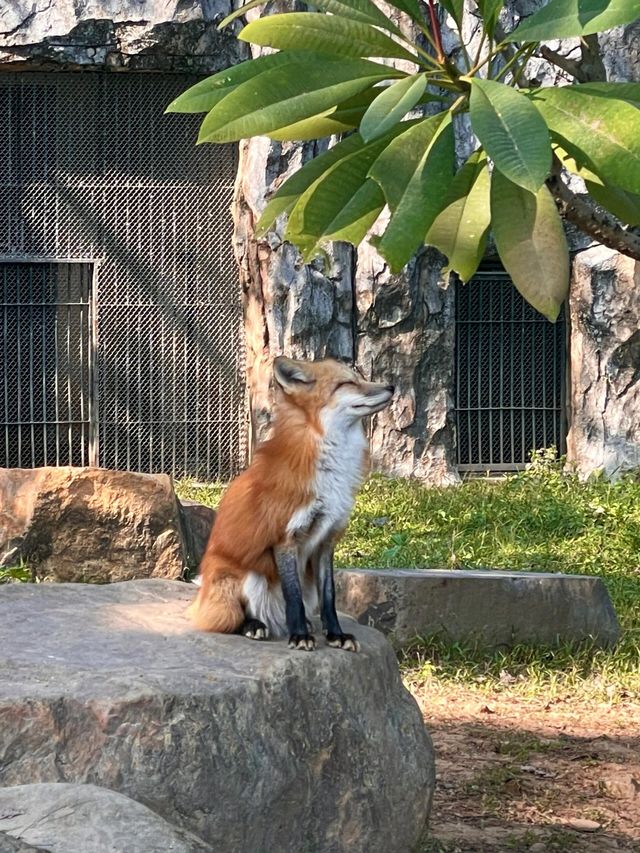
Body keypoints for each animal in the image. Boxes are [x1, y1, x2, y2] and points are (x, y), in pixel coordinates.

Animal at [188, 356, 392, 648]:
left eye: (360, 378)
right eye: (346, 383)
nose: (392, 387)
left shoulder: (326, 539)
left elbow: (329, 598)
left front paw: (335, 634)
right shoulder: (285, 538)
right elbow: (292, 596)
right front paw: (300, 637)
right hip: (250, 576)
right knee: (231, 618)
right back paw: (255, 625)